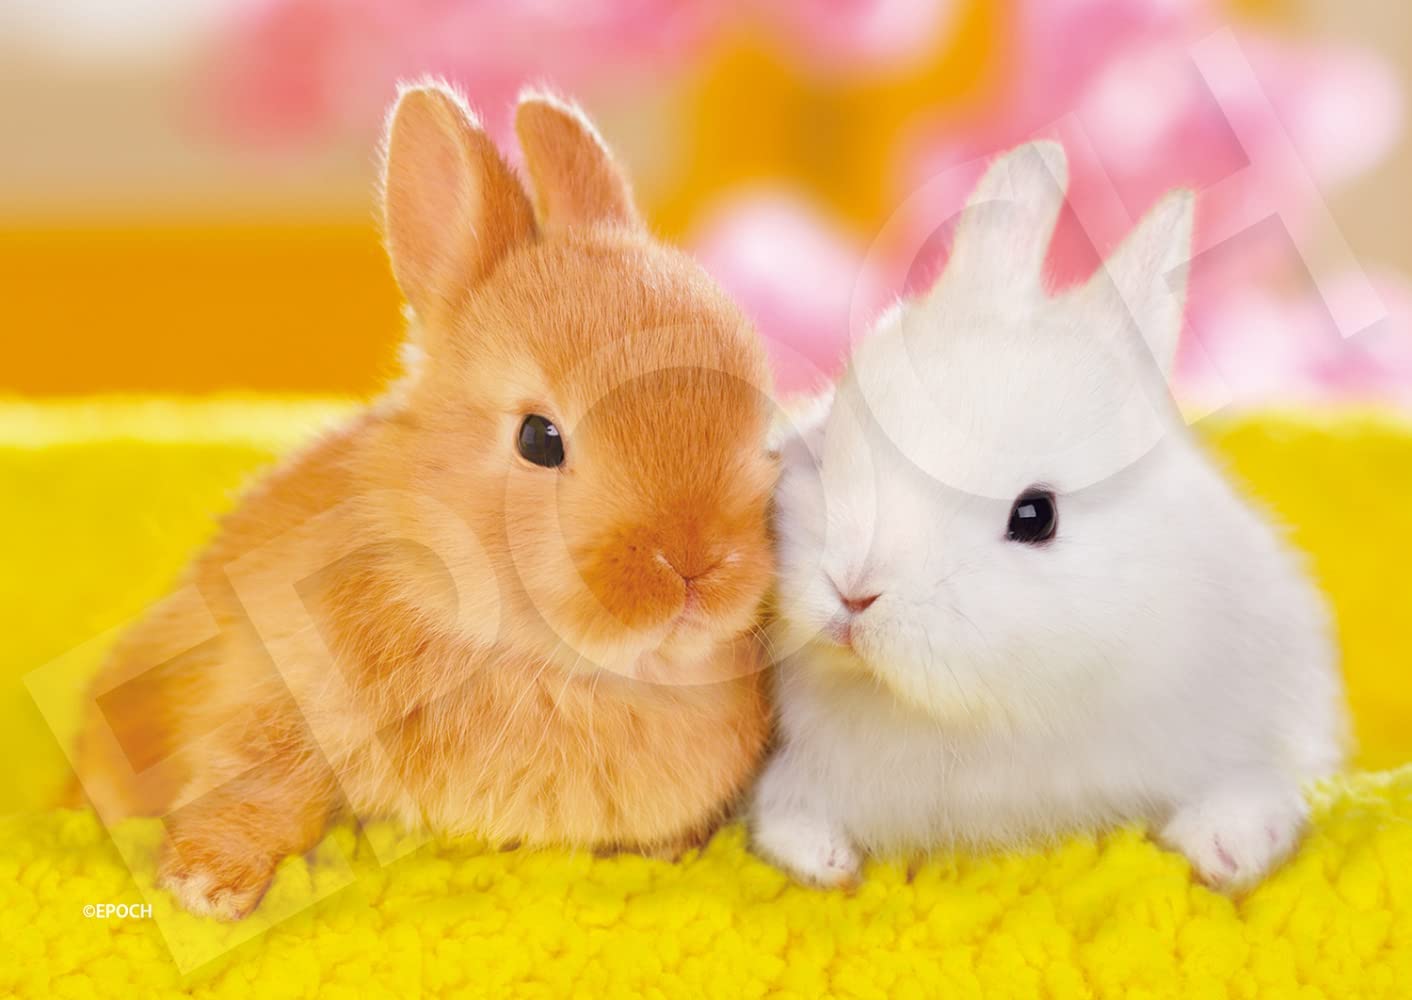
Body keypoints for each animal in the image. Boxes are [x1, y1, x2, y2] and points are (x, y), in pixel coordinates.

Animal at [73, 81, 778, 920]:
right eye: (539, 438)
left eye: (765, 428)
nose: (695, 566)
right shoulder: (271, 698)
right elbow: (264, 789)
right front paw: (206, 887)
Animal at [750, 141, 1346, 892]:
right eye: (825, 447)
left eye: (1035, 516)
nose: (853, 593)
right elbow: (786, 813)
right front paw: (823, 862)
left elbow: (1256, 782)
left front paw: (1227, 849)